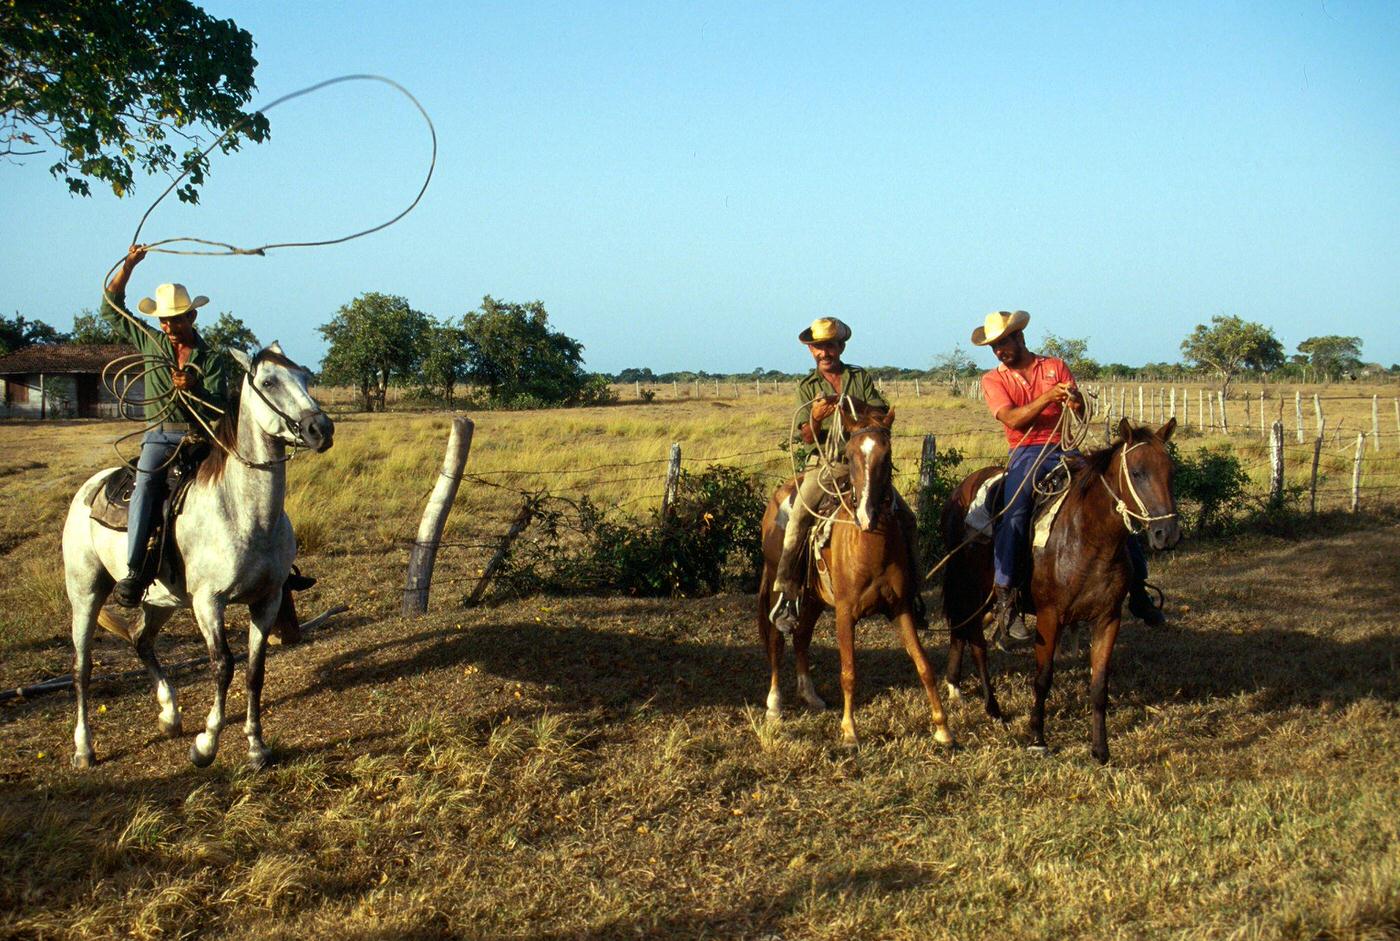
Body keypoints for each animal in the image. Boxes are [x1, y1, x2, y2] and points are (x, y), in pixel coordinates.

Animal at [63, 341, 333, 767]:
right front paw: (206, 744)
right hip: (85, 593)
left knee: (141, 640)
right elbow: (223, 665)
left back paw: (169, 715)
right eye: (268, 382)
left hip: (161, 600)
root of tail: (88, 488)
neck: (243, 513)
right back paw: (84, 747)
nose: (320, 429)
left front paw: (256, 745)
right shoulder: (209, 601)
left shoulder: (268, 599)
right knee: (82, 668)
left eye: (305, 377)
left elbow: (255, 670)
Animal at [761, 397, 957, 750]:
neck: (869, 547)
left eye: (887, 455)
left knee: (802, 636)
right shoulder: (844, 612)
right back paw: (774, 705)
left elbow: (924, 666)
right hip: (777, 583)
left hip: (814, 598)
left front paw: (943, 728)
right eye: (850, 455)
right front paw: (850, 731)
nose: (867, 514)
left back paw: (809, 695)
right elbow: (848, 672)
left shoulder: (900, 608)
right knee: (777, 639)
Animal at [940, 420, 1181, 761]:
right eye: (1137, 472)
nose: (1167, 533)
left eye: (1170, 471)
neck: (1088, 537)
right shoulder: (1049, 617)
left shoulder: (1108, 619)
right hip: (970, 588)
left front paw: (1100, 749)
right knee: (975, 641)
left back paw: (958, 686)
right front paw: (1037, 737)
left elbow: (1099, 685)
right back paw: (992, 706)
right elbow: (1042, 679)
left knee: (965, 633)